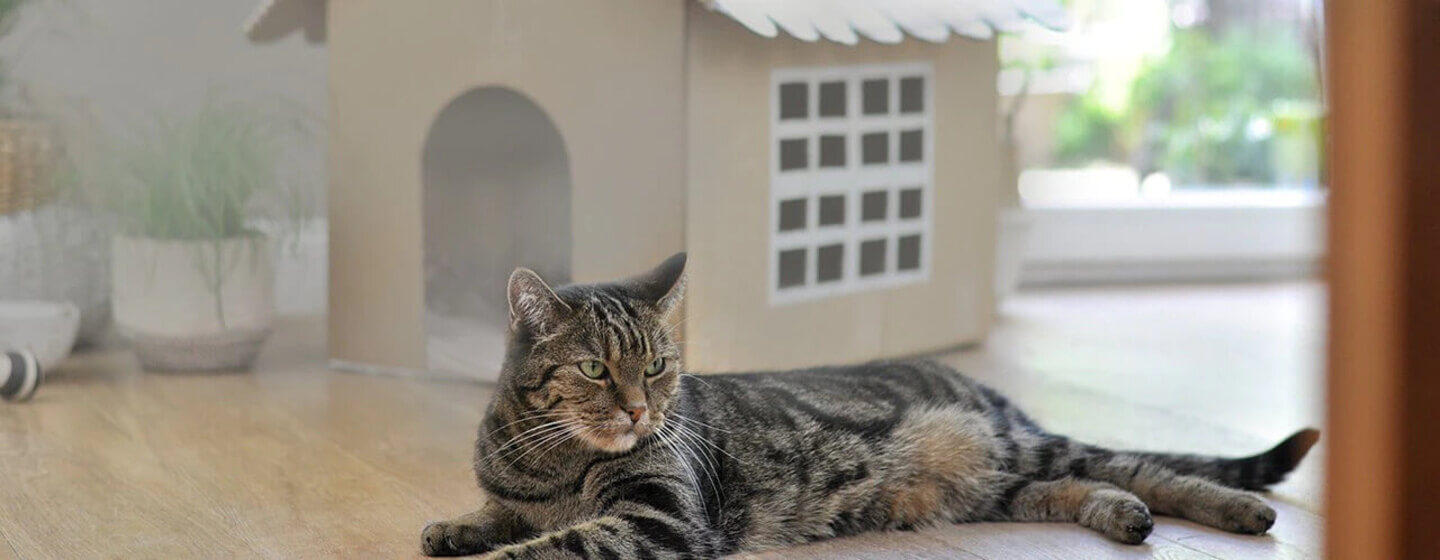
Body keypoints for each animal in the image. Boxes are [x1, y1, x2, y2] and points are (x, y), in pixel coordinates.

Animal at [417, 254, 1319, 558]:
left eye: (660, 367)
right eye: (597, 370)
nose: (642, 413)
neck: (549, 460)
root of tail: (988, 394)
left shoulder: (659, 518)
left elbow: (553, 545)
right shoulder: (521, 497)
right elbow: (497, 518)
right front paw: (452, 528)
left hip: (1012, 448)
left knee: (1137, 464)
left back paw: (1235, 509)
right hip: (996, 486)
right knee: (1082, 485)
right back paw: (1124, 517)